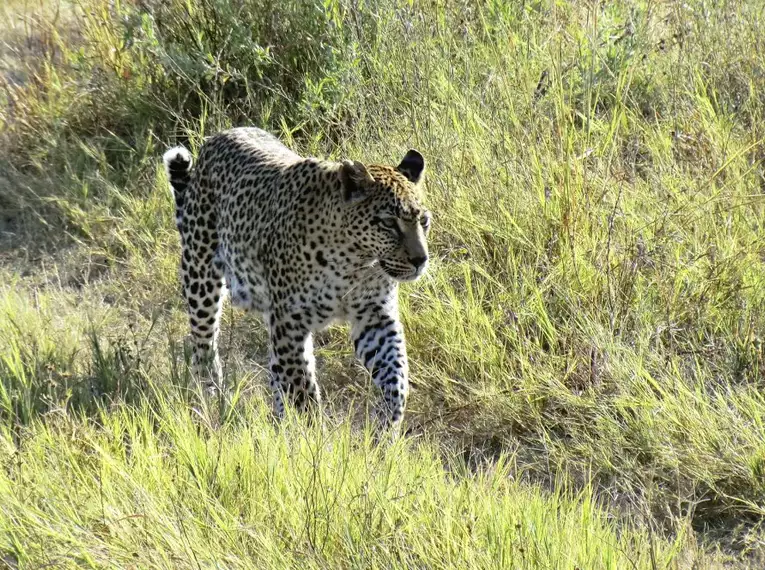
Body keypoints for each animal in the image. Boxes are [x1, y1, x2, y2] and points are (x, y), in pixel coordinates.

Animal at [162, 127, 432, 430]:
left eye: (423, 222)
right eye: (388, 223)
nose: (420, 260)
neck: (354, 263)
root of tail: (221, 135)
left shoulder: (374, 316)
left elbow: (395, 375)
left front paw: (386, 426)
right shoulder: (290, 323)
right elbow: (302, 392)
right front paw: (313, 437)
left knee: (273, 369)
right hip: (200, 274)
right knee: (203, 342)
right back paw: (209, 392)